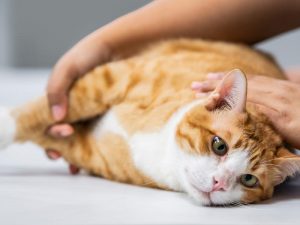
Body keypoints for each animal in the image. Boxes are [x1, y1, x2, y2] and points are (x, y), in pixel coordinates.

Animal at [0, 39, 300, 206]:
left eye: (248, 179)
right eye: (219, 146)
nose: (219, 184)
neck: (162, 149)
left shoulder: (85, 149)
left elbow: (47, 131)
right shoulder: (108, 80)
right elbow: (43, 111)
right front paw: (5, 124)